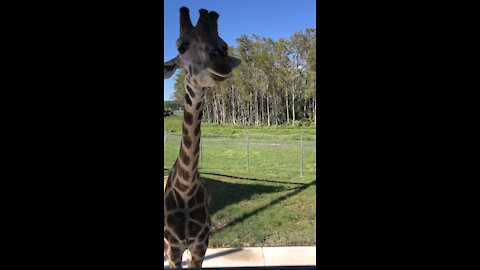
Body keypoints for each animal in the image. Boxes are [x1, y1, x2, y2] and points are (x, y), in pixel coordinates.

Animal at [164, 7, 240, 268]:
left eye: (224, 45)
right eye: (181, 47)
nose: (222, 63)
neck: (186, 188)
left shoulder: (200, 245)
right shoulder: (173, 248)